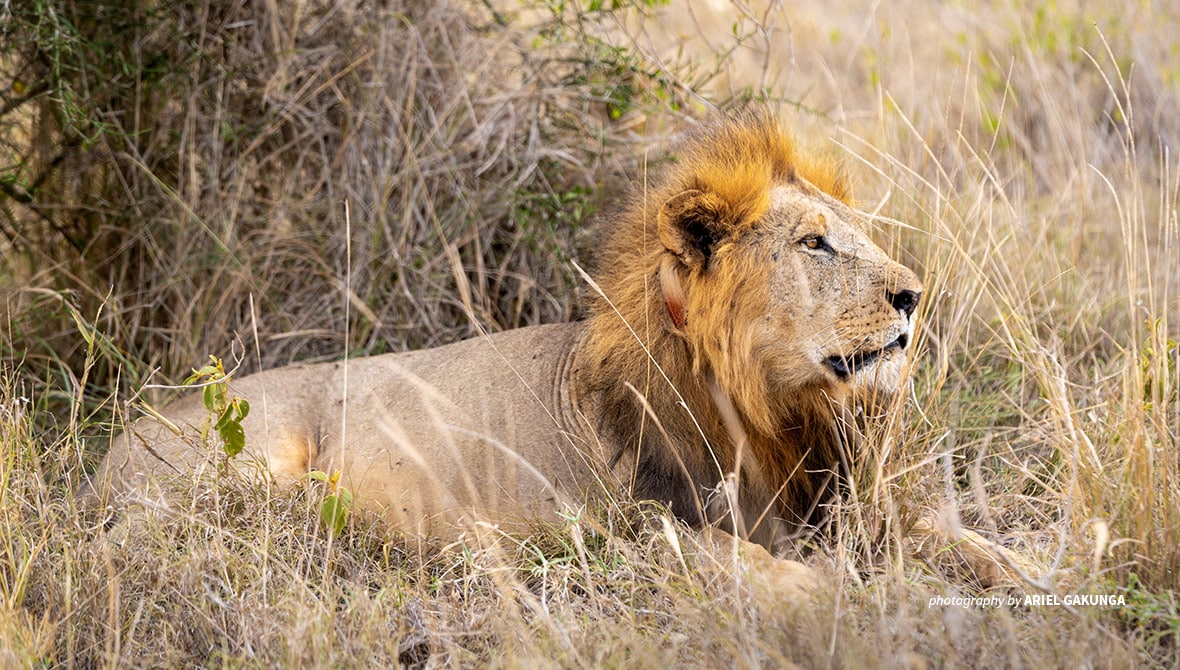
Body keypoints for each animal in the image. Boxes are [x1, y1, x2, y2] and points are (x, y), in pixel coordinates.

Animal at [89, 113, 1025, 588]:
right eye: (815, 244)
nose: (914, 295)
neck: (772, 410)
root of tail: (107, 453)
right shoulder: (638, 526)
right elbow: (756, 563)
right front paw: (834, 598)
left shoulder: (832, 502)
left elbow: (951, 538)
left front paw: (1029, 572)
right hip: (250, 469)